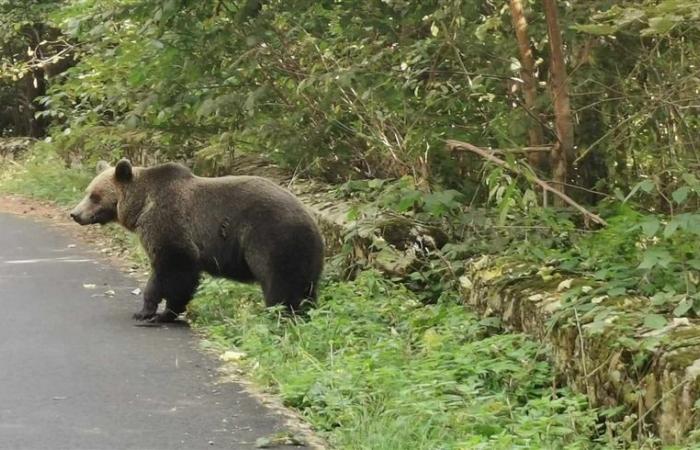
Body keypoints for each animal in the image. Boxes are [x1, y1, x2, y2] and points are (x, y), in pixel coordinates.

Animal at [69, 160, 324, 322]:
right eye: (88, 191)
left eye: (95, 196)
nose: (75, 214)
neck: (142, 206)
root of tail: (311, 220)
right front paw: (164, 312)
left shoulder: (170, 225)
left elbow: (172, 268)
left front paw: (150, 312)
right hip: (305, 255)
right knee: (305, 287)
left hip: (272, 239)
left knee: (281, 284)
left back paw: (281, 315)